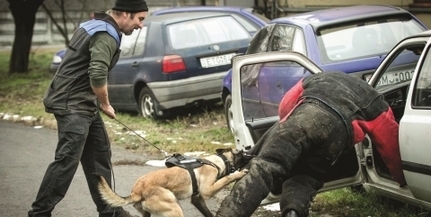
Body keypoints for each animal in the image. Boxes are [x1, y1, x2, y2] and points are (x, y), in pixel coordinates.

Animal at [98, 148, 253, 216]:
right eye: (241, 153)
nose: (252, 153)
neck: (216, 161)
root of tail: (137, 191)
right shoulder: (207, 190)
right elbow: (226, 178)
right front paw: (238, 173)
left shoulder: (198, 200)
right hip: (174, 209)